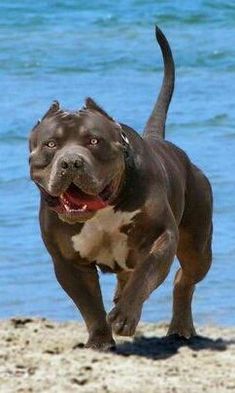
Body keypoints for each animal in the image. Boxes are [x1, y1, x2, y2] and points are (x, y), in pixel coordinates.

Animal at [28, 26, 212, 350]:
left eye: (94, 141)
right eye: (51, 144)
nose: (71, 162)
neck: (103, 209)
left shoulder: (161, 237)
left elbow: (145, 277)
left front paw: (124, 316)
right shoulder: (68, 262)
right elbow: (89, 304)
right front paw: (100, 340)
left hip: (198, 245)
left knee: (183, 278)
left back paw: (179, 326)